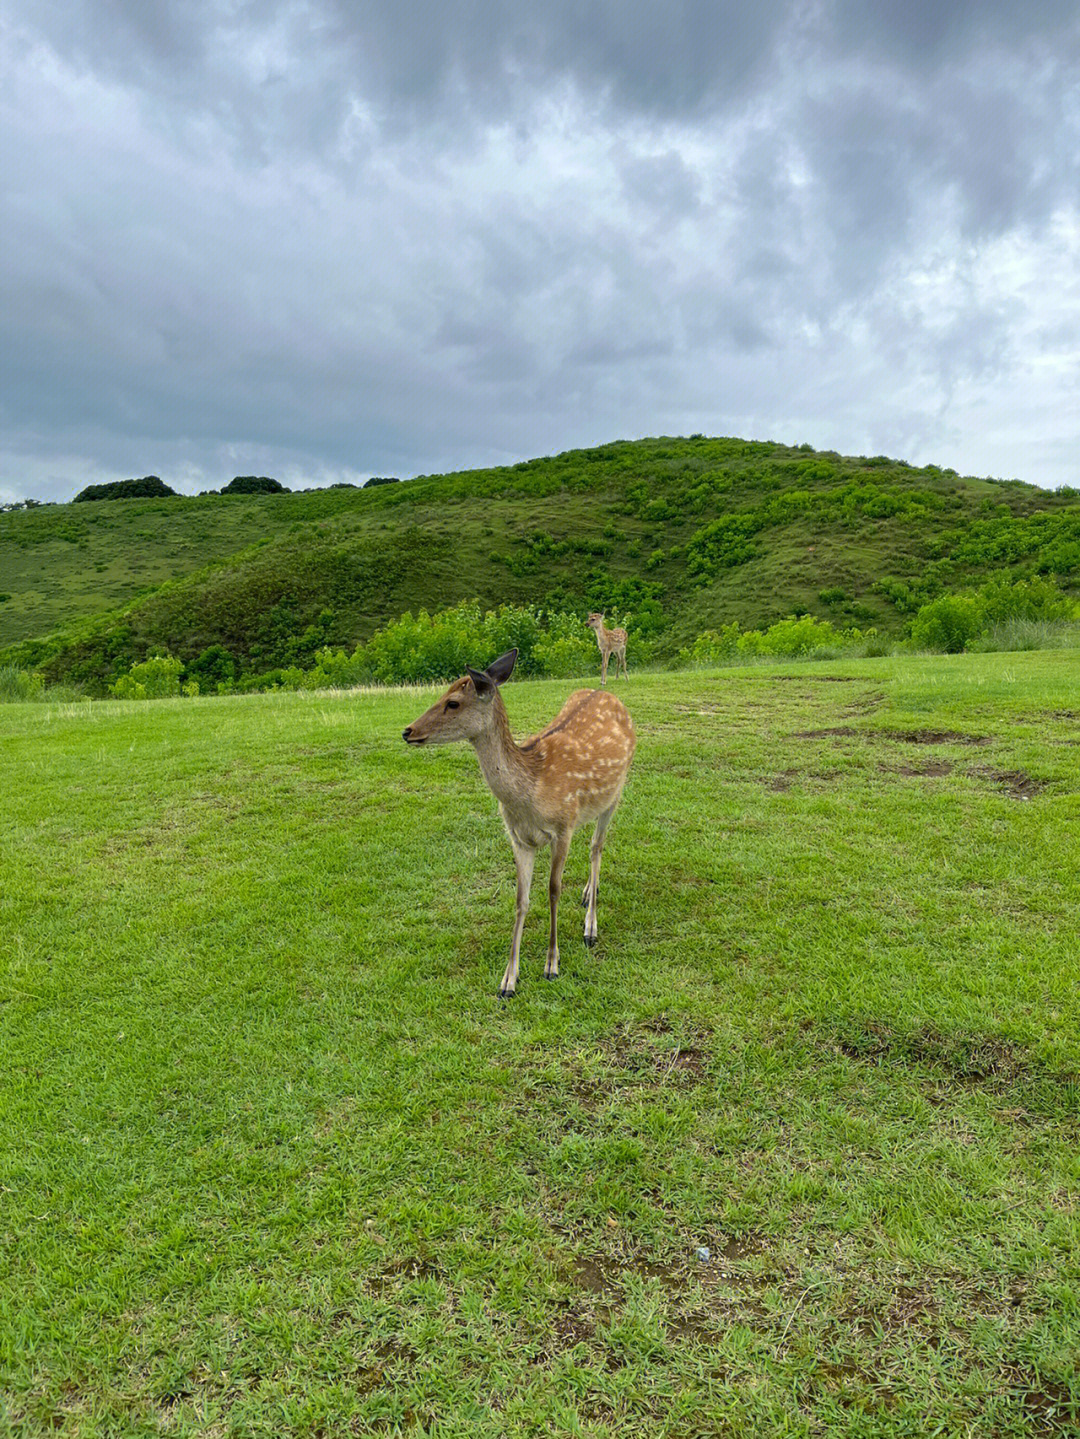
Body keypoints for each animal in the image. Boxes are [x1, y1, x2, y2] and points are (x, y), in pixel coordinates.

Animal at [402, 650, 638, 995]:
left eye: (453, 702)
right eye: (442, 695)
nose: (407, 731)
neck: (530, 792)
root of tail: (609, 694)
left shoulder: (562, 828)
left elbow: (553, 891)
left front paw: (551, 965)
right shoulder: (518, 837)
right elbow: (520, 899)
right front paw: (508, 980)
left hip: (616, 793)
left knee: (597, 846)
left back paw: (590, 927)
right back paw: (586, 892)